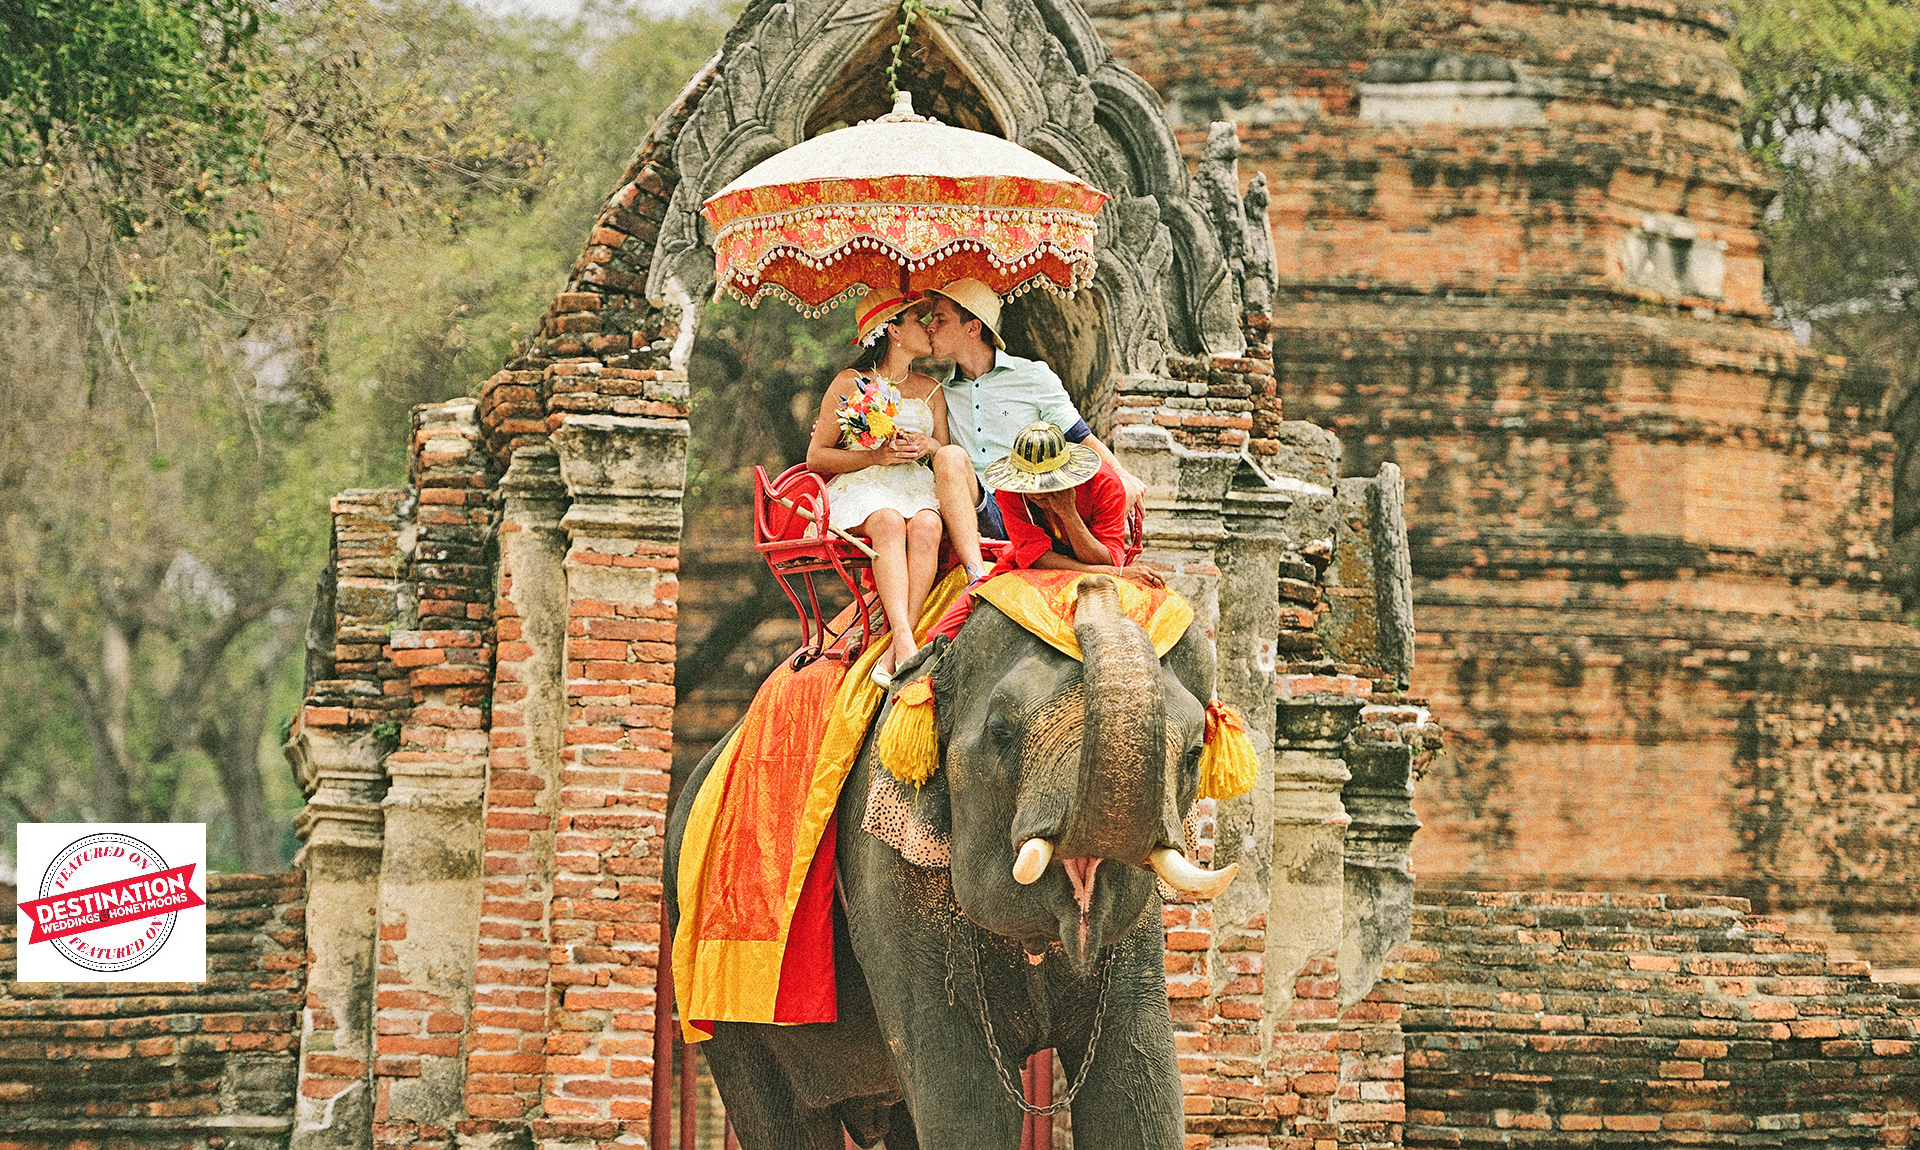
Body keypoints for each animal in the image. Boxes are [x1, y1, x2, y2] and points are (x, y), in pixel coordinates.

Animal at [664, 575, 1228, 1150]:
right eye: (1002, 733)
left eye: (1193, 754)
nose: (1094, 584)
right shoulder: (885, 870)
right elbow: (966, 1100)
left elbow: (1138, 1084)